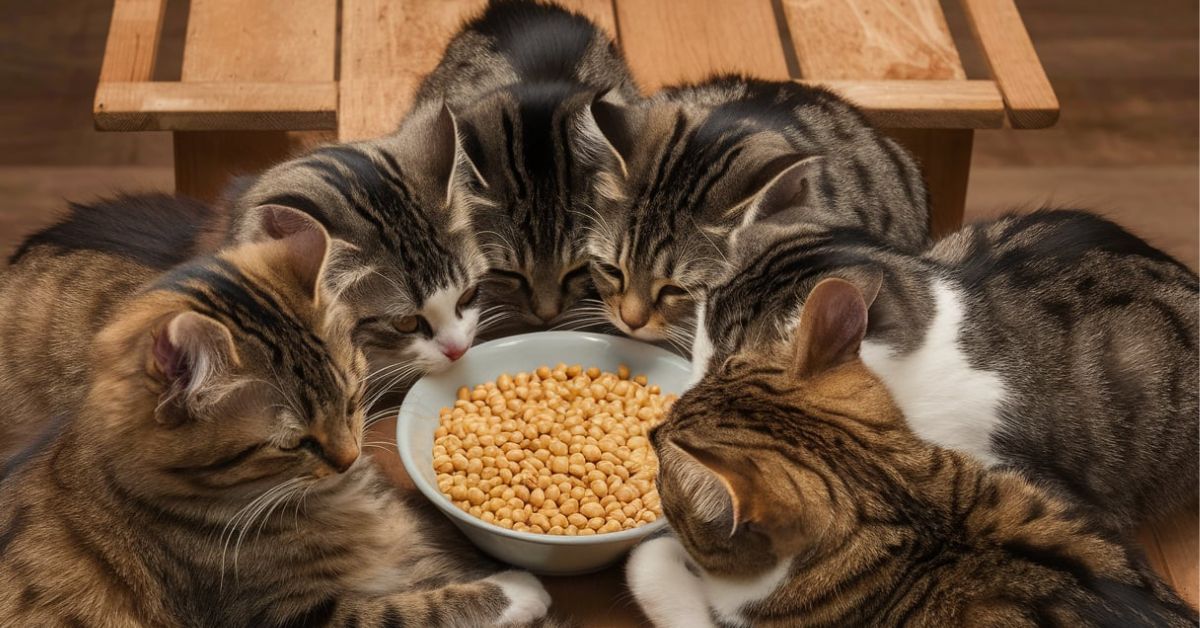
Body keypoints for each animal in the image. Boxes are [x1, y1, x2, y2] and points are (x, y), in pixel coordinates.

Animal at [0, 208, 552, 624]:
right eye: (293, 443)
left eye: (352, 402)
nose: (349, 458)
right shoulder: (289, 615)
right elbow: (417, 608)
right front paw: (520, 588)